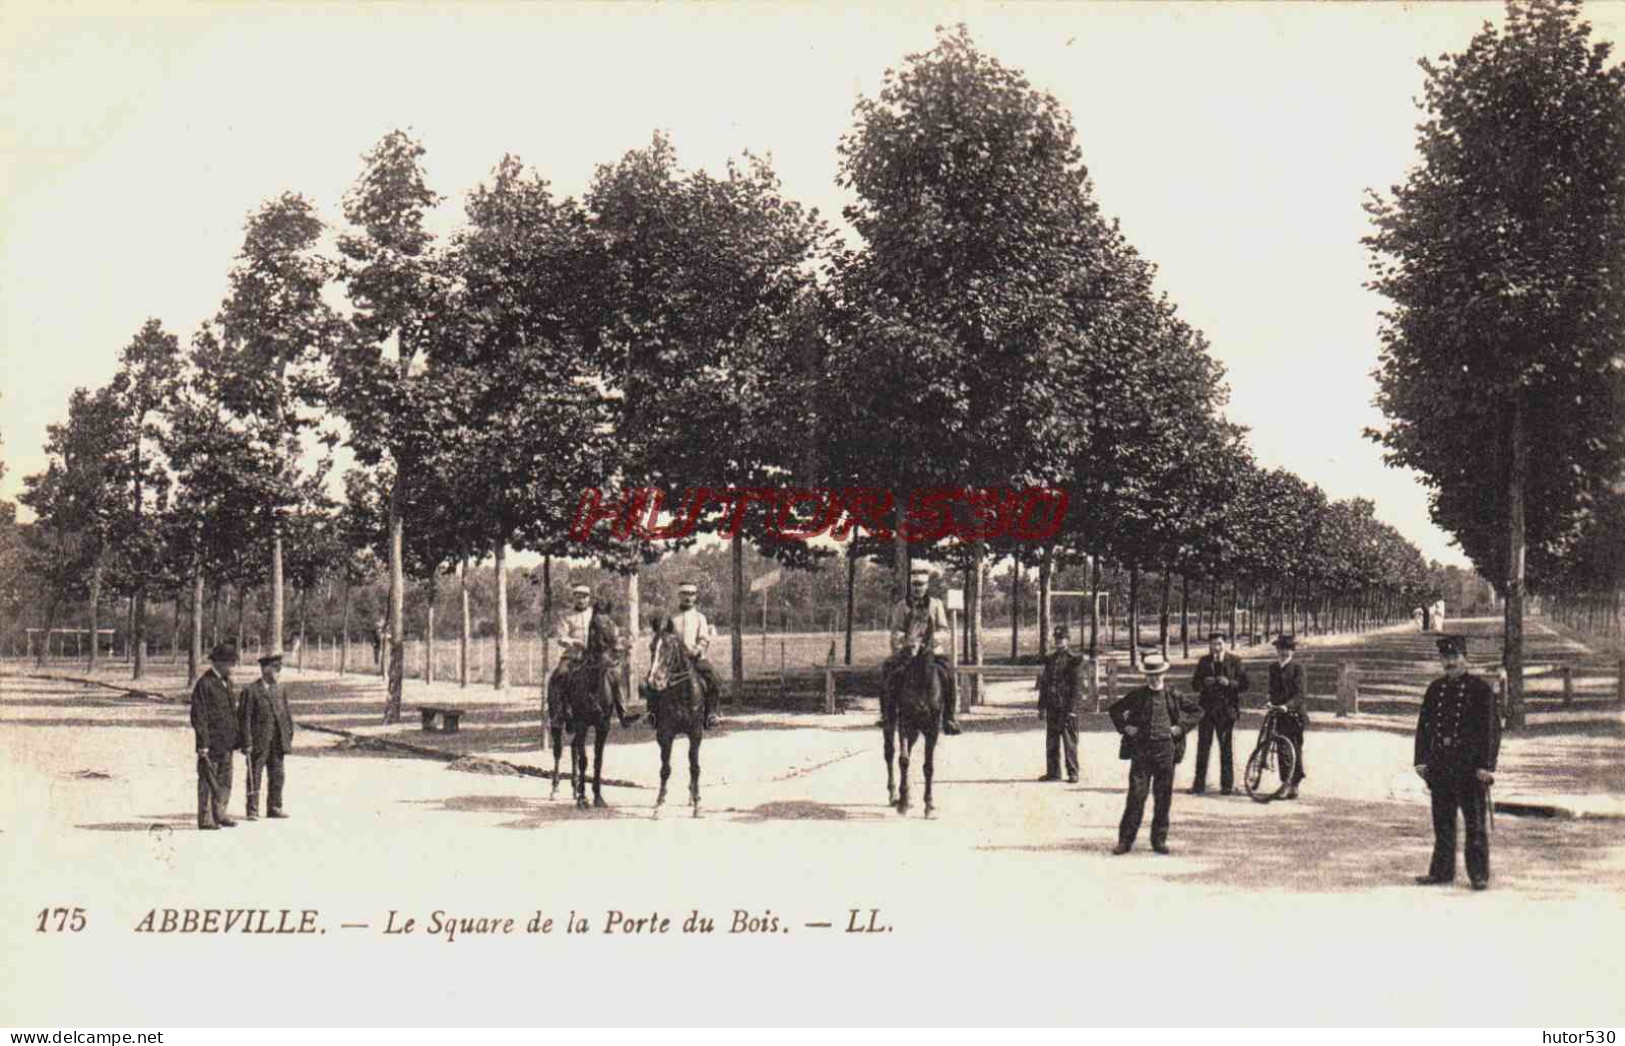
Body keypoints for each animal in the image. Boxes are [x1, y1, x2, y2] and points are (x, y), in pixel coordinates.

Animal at [549, 613, 617, 808]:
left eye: (613, 623)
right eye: (596, 626)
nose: (616, 648)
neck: (593, 686)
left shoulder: (603, 726)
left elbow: (597, 761)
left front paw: (598, 797)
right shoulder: (582, 724)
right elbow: (584, 760)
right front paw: (583, 799)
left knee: (573, 748)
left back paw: (575, 787)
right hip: (557, 722)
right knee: (558, 750)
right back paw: (555, 789)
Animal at [643, 630, 702, 818]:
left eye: (668, 649)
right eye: (651, 647)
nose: (654, 681)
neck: (681, 693)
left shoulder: (695, 733)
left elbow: (694, 768)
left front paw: (698, 804)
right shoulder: (665, 734)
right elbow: (665, 769)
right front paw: (659, 804)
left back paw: (692, 796)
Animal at [890, 646, 942, 818]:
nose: (912, 647)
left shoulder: (932, 729)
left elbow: (929, 767)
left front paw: (929, 805)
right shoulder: (904, 724)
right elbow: (903, 760)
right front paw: (902, 804)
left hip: (915, 731)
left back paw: (907, 796)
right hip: (891, 721)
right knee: (889, 753)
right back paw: (895, 796)